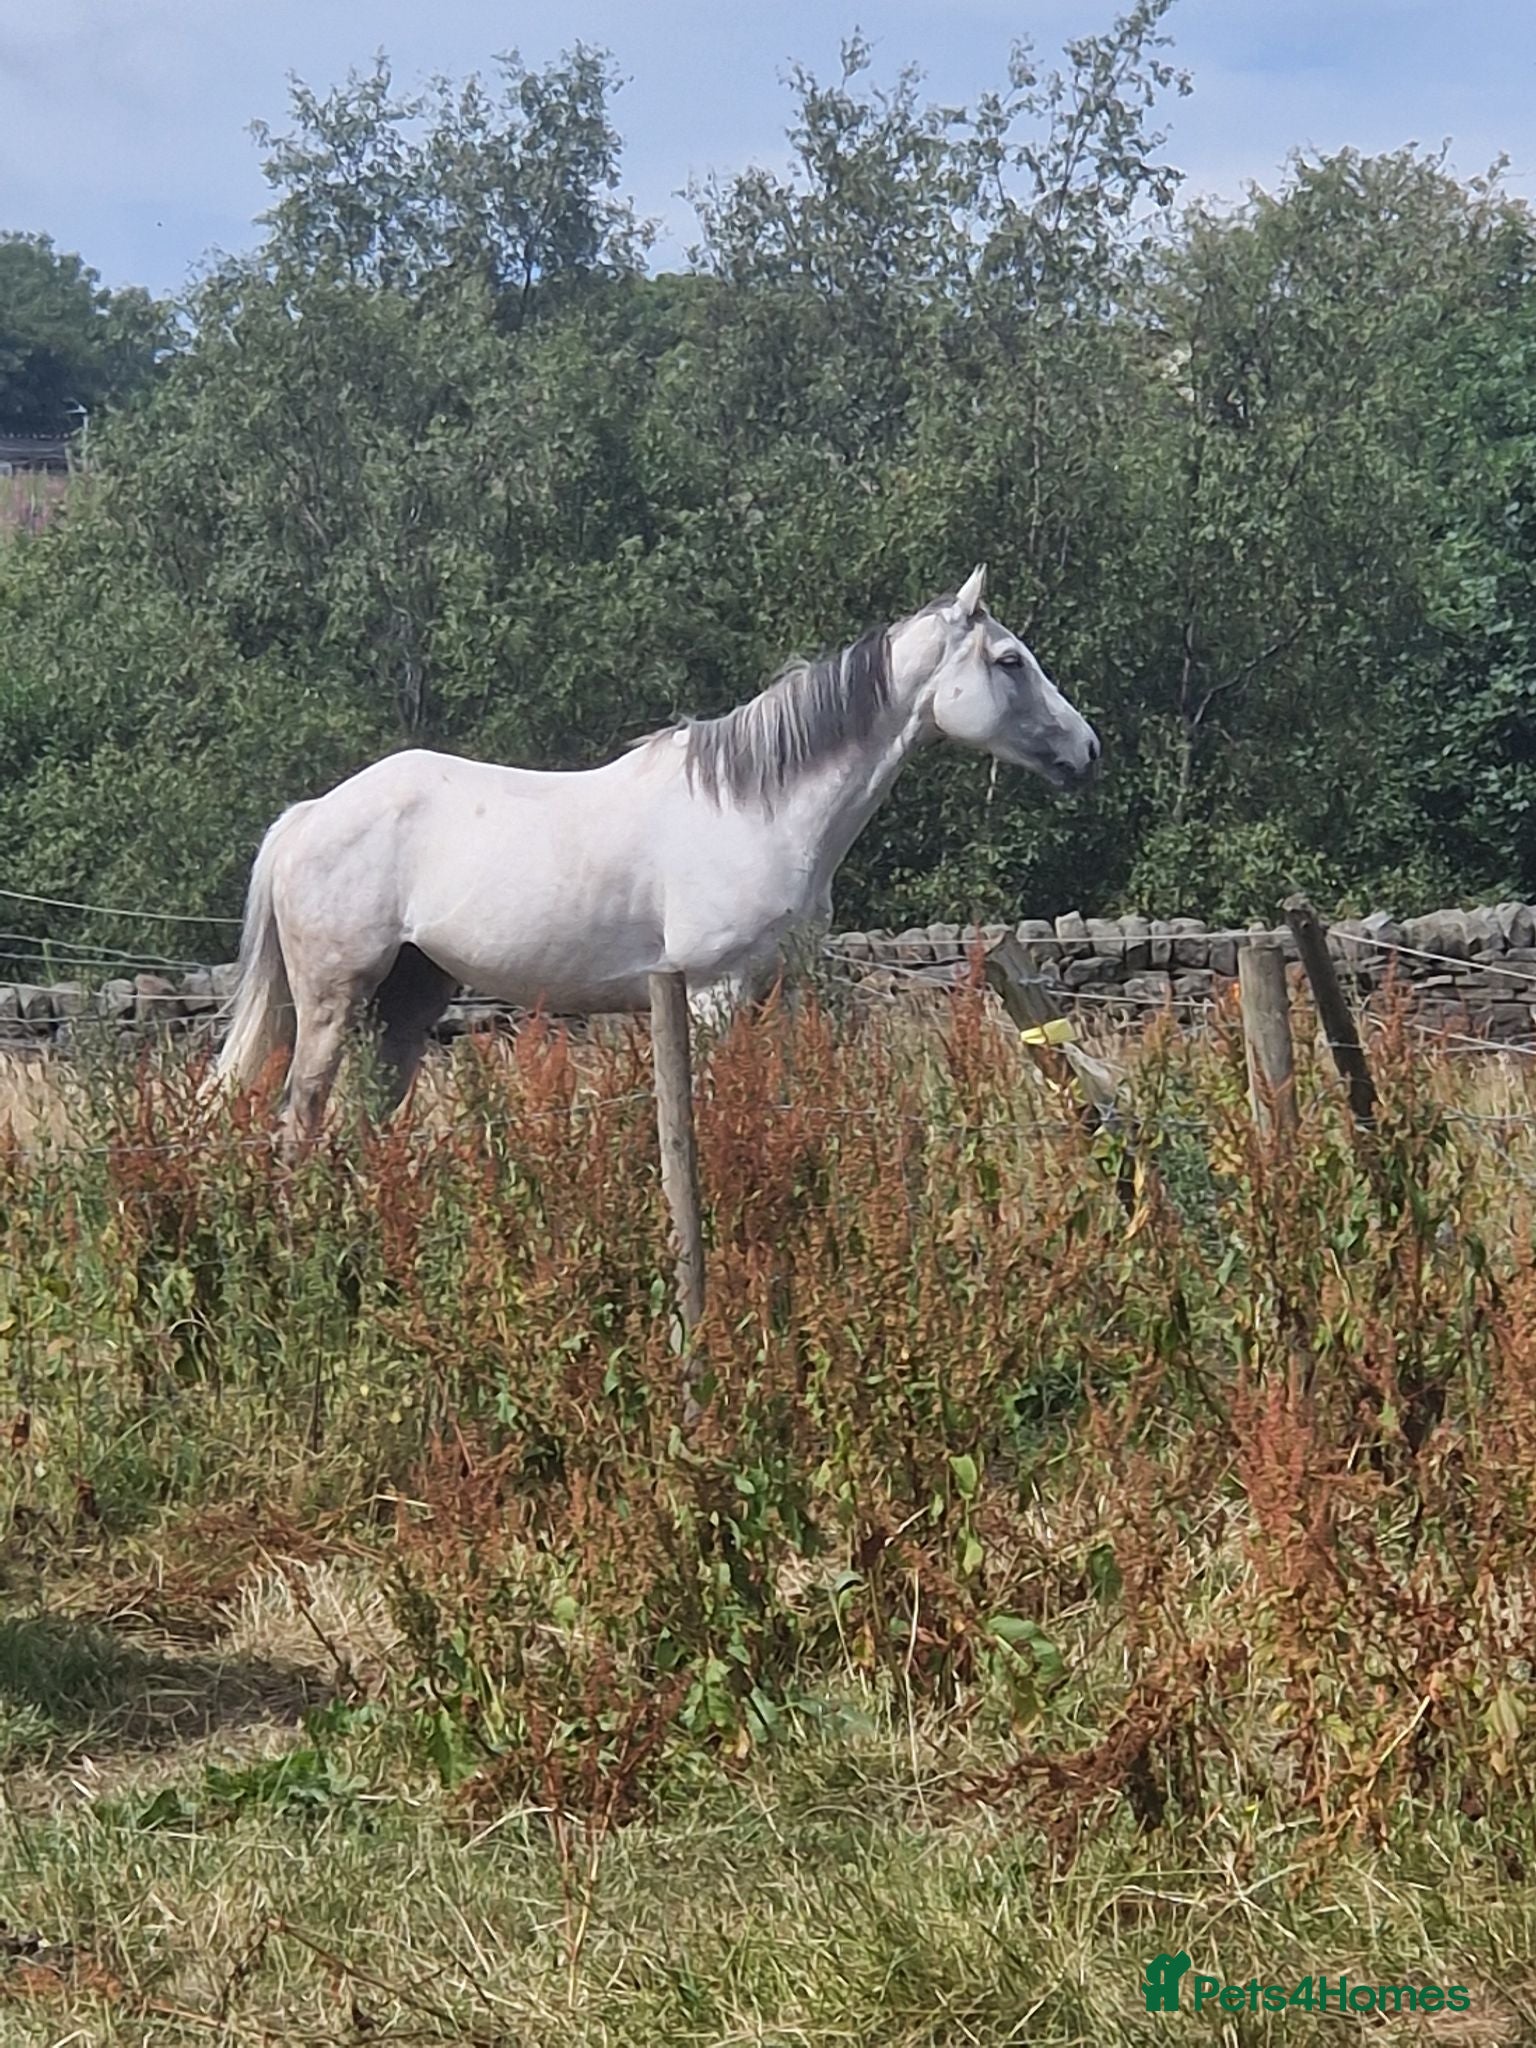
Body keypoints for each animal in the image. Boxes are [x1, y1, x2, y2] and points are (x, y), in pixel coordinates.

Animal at [216, 565, 1100, 1149]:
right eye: (1010, 661)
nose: (1086, 750)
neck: (758, 810)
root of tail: (309, 816)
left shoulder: (770, 992)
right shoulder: (710, 993)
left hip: (409, 996)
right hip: (333, 999)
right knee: (299, 1120)